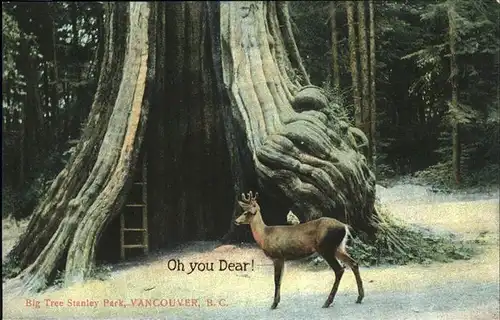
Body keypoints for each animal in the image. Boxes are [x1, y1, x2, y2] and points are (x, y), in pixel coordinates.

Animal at [234, 191, 364, 308]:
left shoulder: (277, 256)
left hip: (326, 247)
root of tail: (345, 227)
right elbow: (280, 279)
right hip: (339, 247)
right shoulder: (283, 258)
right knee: (354, 263)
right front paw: (277, 301)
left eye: (246, 212)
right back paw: (359, 297)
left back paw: (327, 302)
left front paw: (274, 304)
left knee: (339, 269)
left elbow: (276, 280)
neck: (265, 235)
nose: (236, 221)